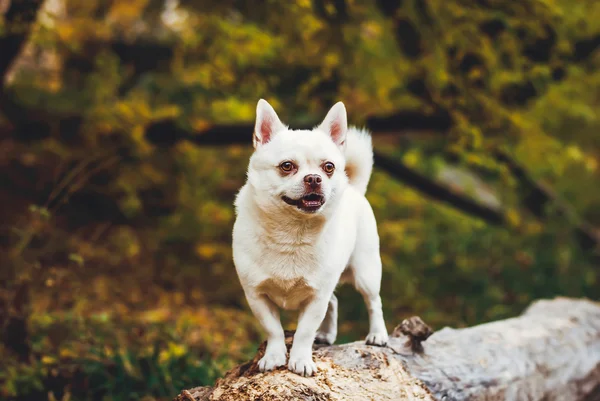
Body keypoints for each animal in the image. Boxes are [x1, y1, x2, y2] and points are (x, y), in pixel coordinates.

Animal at [232, 99, 386, 376]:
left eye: (329, 167)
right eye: (287, 166)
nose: (314, 178)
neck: (293, 232)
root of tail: (355, 189)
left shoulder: (316, 298)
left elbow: (304, 332)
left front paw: (300, 360)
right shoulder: (256, 296)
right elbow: (273, 329)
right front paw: (274, 356)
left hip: (365, 273)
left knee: (373, 302)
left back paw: (378, 335)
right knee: (334, 300)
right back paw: (326, 335)